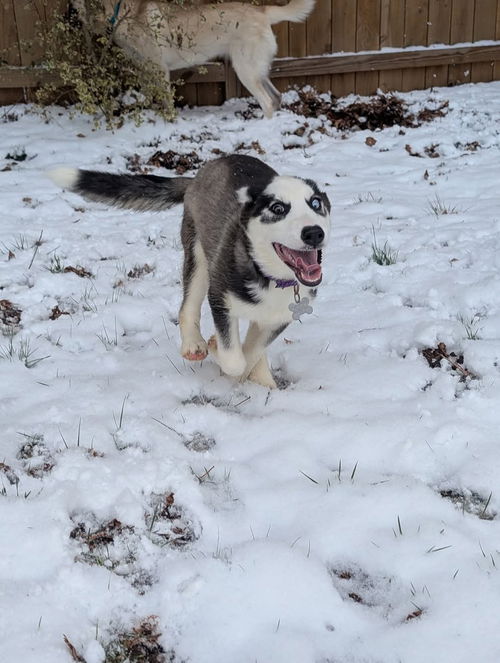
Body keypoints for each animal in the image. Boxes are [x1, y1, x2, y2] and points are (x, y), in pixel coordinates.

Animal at [48, 156, 330, 390]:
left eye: (316, 204)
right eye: (278, 208)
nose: (314, 233)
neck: (271, 278)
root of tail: (202, 173)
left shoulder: (279, 317)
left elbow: (252, 351)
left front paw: (255, 374)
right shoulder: (219, 298)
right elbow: (234, 358)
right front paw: (217, 347)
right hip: (197, 255)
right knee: (188, 305)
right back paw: (194, 344)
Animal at [73, 0, 314, 118]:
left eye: (74, 8)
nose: (68, 18)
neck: (120, 12)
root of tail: (262, 10)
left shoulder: (159, 68)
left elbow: (166, 101)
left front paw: (169, 121)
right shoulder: (144, 68)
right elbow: (149, 95)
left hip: (245, 70)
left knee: (267, 102)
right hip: (257, 71)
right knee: (276, 97)